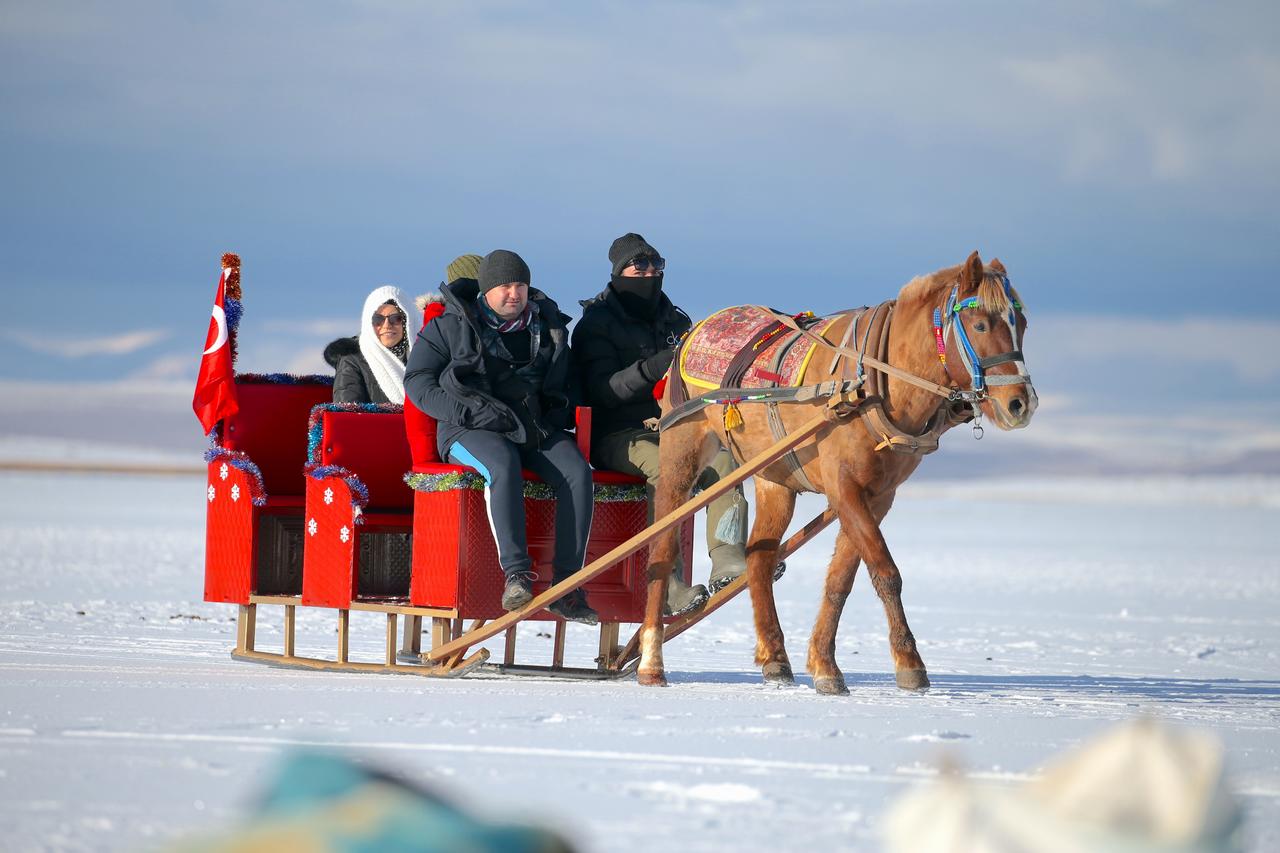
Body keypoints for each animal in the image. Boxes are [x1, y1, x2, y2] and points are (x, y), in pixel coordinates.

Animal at [638, 251, 1037, 693]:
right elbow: (885, 571)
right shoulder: (843, 486)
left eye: (1022, 324)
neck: (874, 384)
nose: (1021, 403)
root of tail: (697, 329)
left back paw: (775, 658)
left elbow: (841, 581)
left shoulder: (877, 495)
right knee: (661, 550)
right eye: (980, 324)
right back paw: (651, 663)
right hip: (681, 452)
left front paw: (825, 665)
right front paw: (910, 663)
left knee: (759, 558)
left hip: (774, 478)